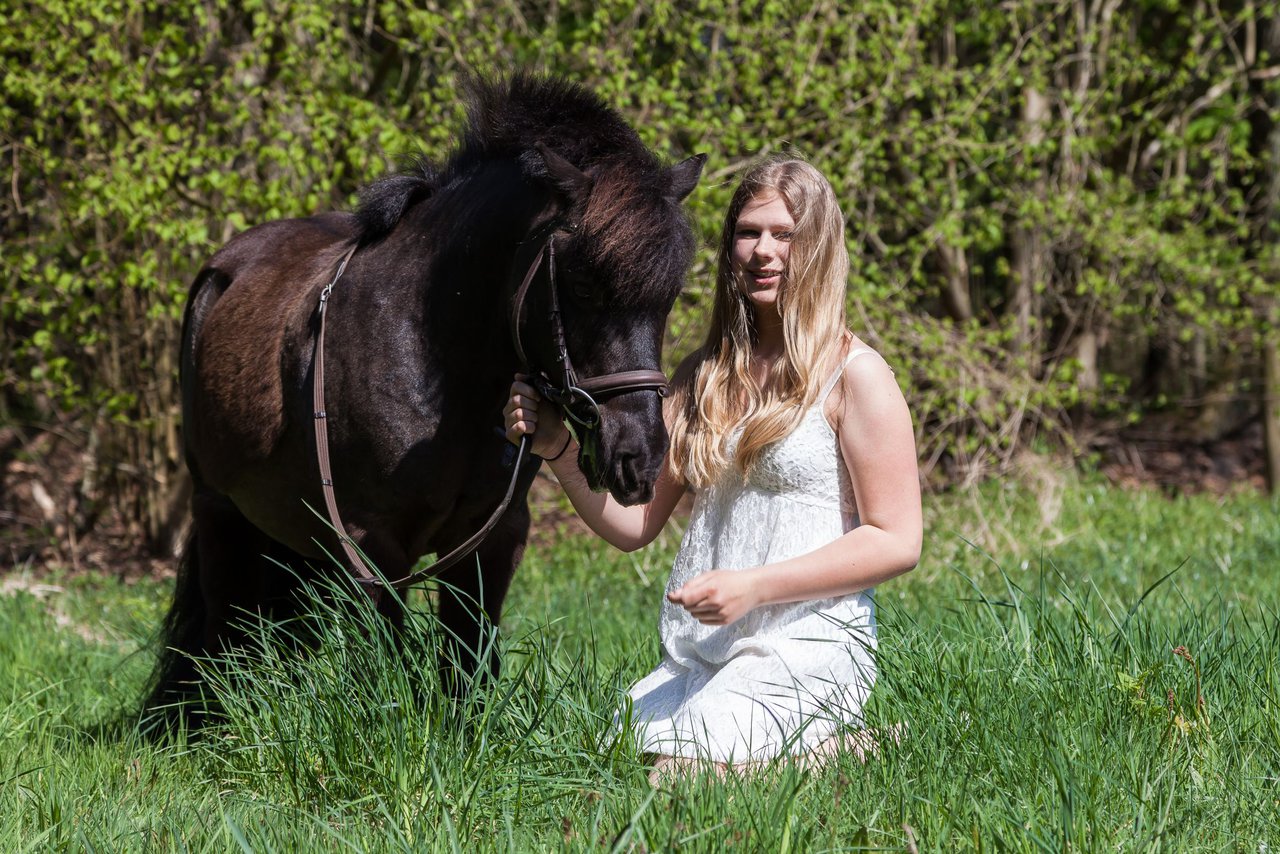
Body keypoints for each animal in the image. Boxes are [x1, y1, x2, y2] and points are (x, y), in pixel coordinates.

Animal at [148, 76, 706, 727]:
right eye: (584, 284)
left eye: (668, 298)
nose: (639, 459)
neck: (439, 365)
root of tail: (221, 272)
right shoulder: (371, 545)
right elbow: (385, 662)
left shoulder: (494, 536)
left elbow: (468, 660)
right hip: (218, 508)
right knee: (221, 627)